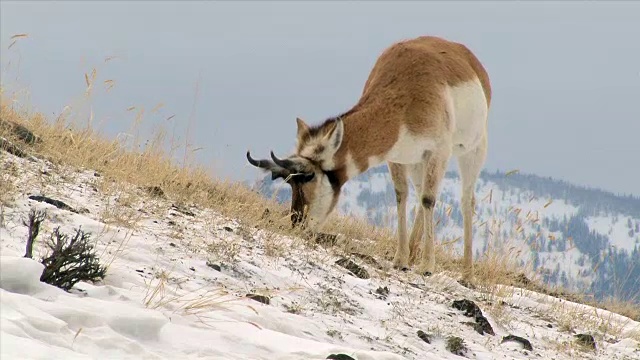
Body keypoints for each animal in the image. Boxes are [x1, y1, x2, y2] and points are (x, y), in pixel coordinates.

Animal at [248, 35, 492, 280]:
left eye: (308, 177)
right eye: (290, 182)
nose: (298, 224)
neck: (405, 99)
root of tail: (467, 56)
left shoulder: (438, 152)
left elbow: (428, 200)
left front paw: (427, 266)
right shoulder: (397, 158)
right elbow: (402, 196)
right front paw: (401, 260)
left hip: (471, 151)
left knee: (464, 200)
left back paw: (467, 272)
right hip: (417, 163)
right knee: (422, 193)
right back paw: (414, 252)